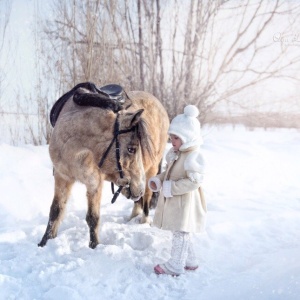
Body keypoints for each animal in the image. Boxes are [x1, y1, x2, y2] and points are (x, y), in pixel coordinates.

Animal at [38, 82, 169, 248]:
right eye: (131, 149)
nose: (138, 188)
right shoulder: (62, 177)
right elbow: (55, 211)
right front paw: (44, 243)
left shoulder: (94, 182)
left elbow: (93, 217)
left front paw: (94, 246)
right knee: (137, 200)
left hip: (150, 170)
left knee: (146, 196)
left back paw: (143, 220)